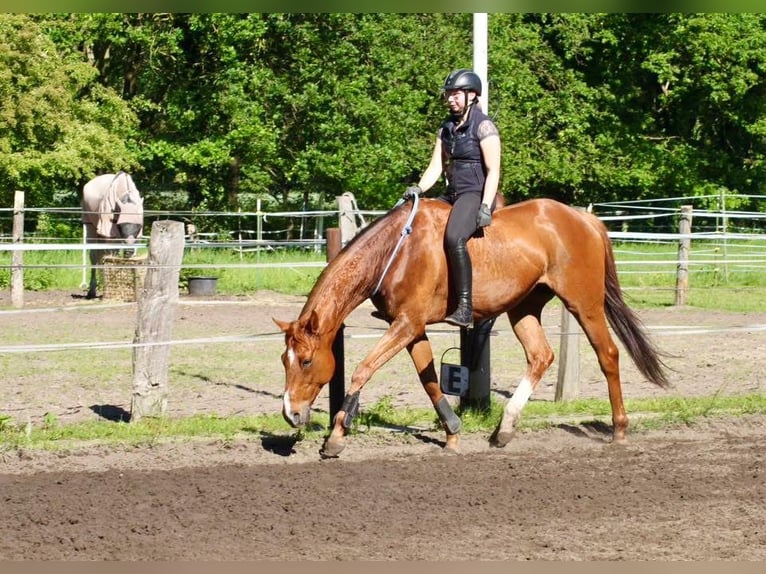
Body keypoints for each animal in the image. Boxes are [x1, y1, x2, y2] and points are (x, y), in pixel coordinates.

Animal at [274, 197, 670, 458]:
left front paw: (337, 434)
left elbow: (362, 370)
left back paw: (619, 429)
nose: (289, 413)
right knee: (541, 356)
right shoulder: (411, 327)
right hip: (524, 308)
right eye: (283, 361)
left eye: (306, 361)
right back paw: (505, 429)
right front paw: (452, 433)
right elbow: (430, 380)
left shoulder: (406, 324)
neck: (397, 251)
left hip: (584, 304)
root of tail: (584, 219)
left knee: (608, 354)